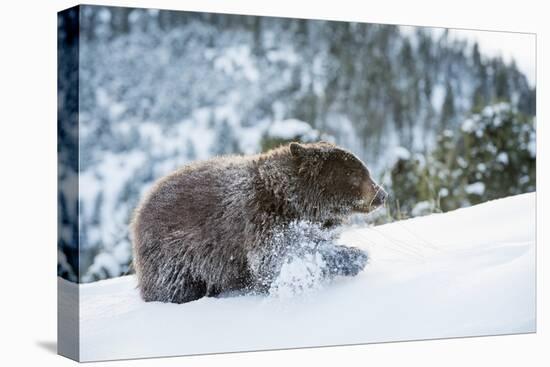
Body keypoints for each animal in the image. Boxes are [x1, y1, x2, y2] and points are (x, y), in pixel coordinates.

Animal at [130, 142, 388, 304]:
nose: (382, 194)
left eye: (365, 171)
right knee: (173, 286)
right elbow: (274, 260)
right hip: (174, 256)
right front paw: (355, 257)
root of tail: (139, 208)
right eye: (356, 174)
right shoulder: (262, 219)